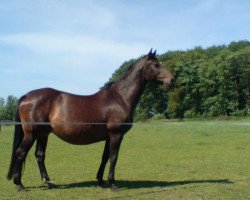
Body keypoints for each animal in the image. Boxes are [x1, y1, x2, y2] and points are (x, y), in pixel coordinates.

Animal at [6, 49, 173, 191]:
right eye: (156, 64)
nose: (172, 79)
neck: (119, 98)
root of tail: (27, 96)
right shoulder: (116, 134)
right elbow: (114, 157)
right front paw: (113, 183)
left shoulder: (108, 136)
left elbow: (105, 157)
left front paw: (100, 180)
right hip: (31, 134)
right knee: (20, 152)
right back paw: (19, 185)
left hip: (43, 134)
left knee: (39, 155)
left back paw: (48, 182)